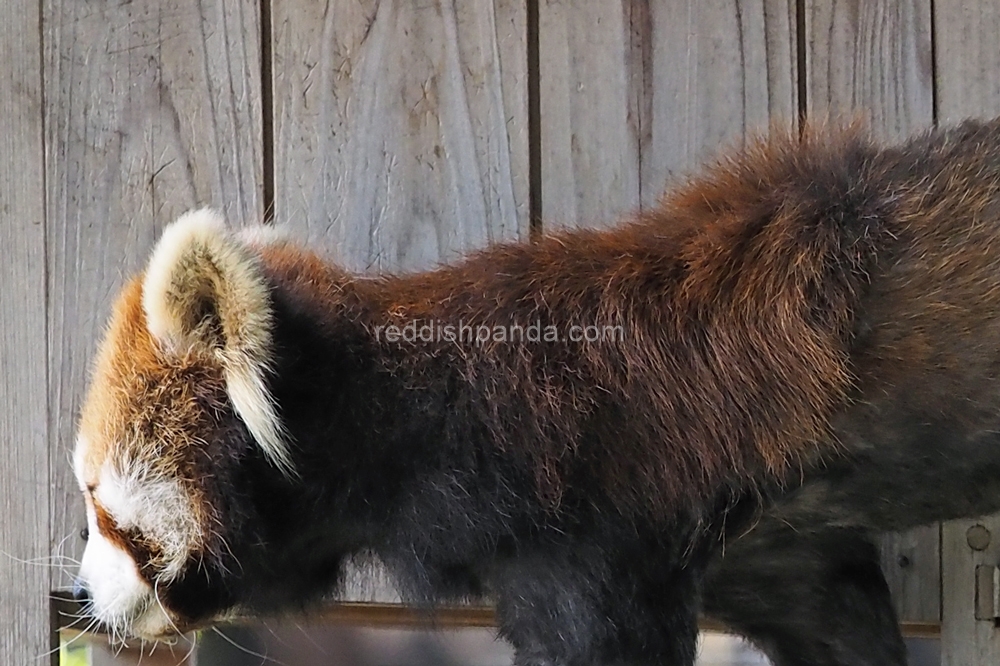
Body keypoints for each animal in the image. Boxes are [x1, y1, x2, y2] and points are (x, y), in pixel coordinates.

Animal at [72, 120, 1000, 664]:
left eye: (95, 500)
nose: (82, 592)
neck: (428, 422)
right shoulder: (776, 550)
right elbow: (840, 623)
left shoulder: (594, 533)